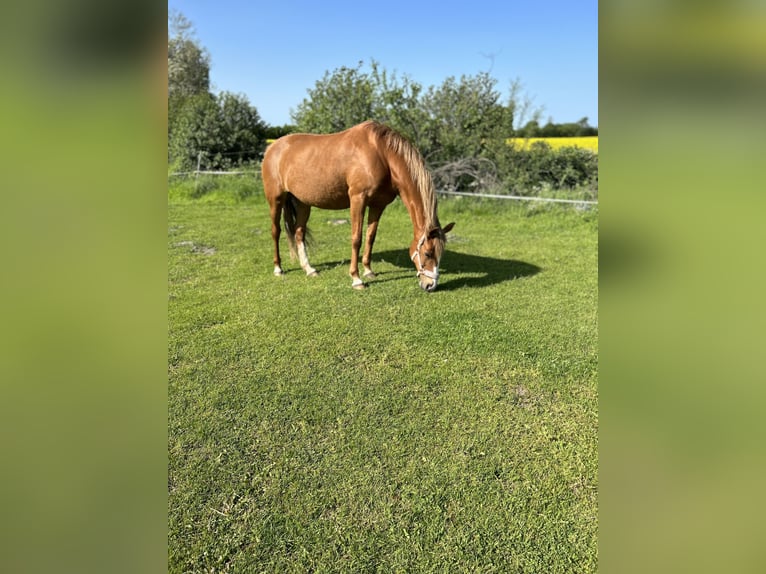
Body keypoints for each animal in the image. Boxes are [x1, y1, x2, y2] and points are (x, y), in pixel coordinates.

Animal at [264, 121, 456, 292]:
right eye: (428, 253)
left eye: (440, 253)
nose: (430, 285)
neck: (381, 154)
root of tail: (272, 148)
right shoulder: (358, 199)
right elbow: (357, 238)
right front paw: (356, 279)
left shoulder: (378, 205)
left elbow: (371, 236)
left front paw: (368, 271)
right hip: (276, 200)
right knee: (275, 231)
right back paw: (278, 269)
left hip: (303, 203)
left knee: (299, 233)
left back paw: (309, 269)